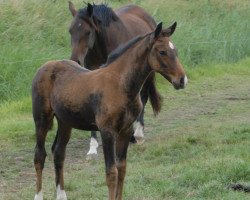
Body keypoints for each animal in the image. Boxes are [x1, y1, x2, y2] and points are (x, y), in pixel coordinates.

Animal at [32, 21, 187, 200]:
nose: (182, 80)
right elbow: (111, 173)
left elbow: (122, 168)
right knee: (40, 155)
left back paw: (61, 195)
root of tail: (44, 67)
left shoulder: (126, 131)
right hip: (42, 119)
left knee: (58, 153)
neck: (121, 85)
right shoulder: (107, 132)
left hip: (65, 122)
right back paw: (38, 195)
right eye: (162, 52)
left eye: (175, 50)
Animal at [68, 1, 162, 158]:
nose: (75, 60)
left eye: (88, 32)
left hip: (147, 75)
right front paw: (93, 146)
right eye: (70, 31)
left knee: (143, 97)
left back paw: (138, 134)